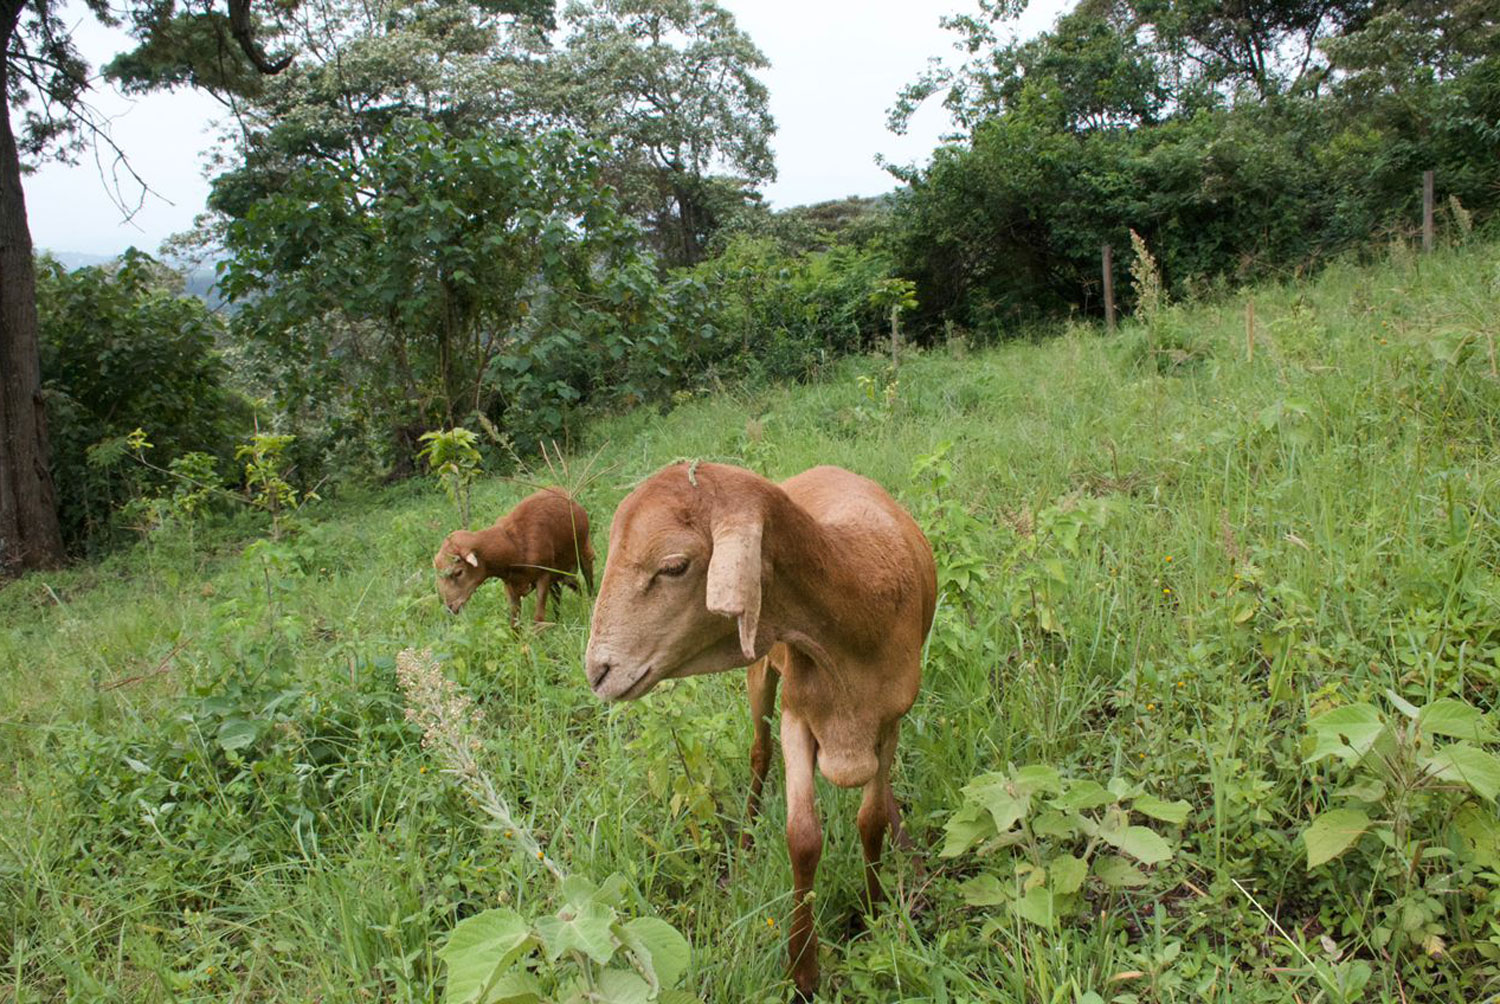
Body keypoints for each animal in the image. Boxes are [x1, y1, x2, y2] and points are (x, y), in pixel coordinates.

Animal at [432, 486, 594, 627]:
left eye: (459, 572)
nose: (449, 607)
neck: (513, 543)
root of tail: (562, 490)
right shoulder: (511, 586)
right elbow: (514, 624)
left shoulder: (543, 576)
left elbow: (538, 619)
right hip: (560, 571)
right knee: (568, 588)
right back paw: (561, 618)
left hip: (584, 550)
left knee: (588, 581)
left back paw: (590, 606)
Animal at [579, 459, 930, 996]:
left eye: (674, 566)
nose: (597, 671)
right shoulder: (795, 716)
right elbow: (803, 837)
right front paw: (802, 972)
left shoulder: (890, 722)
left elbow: (869, 821)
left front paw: (873, 914)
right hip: (760, 673)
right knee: (758, 754)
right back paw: (744, 845)